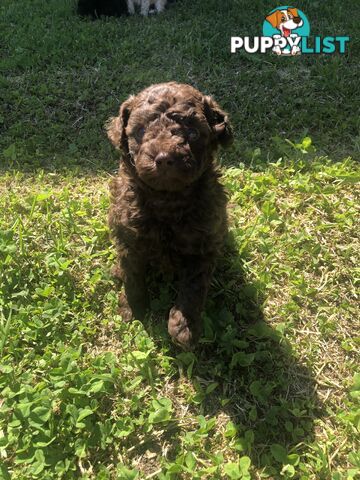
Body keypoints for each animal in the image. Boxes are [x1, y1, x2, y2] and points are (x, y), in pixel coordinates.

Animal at [106, 82, 233, 350]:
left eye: (193, 134)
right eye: (141, 131)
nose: (164, 159)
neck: (167, 198)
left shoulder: (202, 244)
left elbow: (194, 287)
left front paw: (184, 325)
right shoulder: (129, 238)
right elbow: (133, 276)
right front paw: (132, 307)